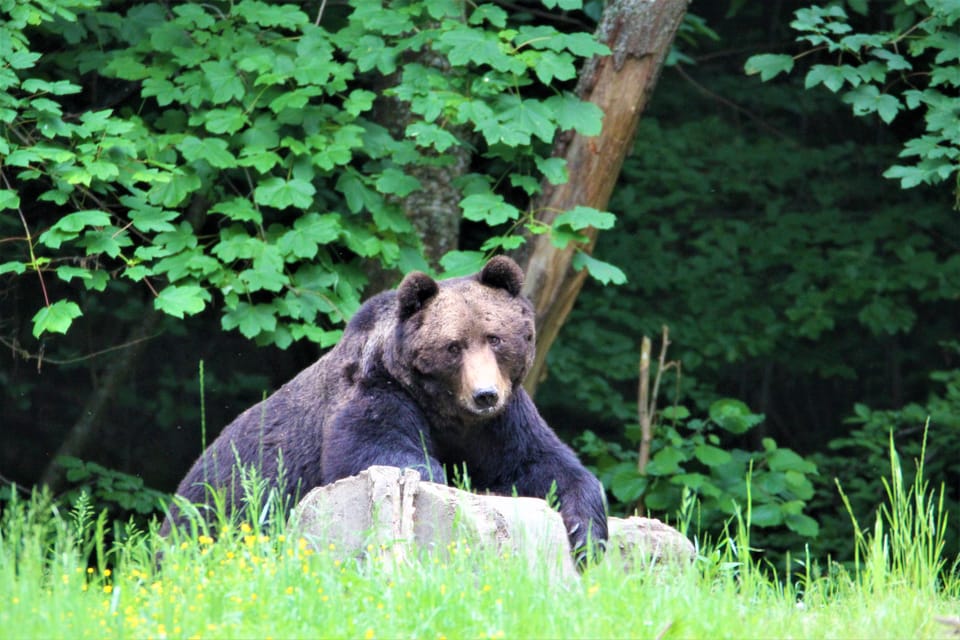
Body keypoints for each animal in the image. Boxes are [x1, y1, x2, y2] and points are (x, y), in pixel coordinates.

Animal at [160, 258, 604, 556]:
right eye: (454, 345)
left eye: (494, 338)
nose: (485, 394)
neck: (445, 408)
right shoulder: (377, 390)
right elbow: (379, 449)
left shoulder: (501, 422)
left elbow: (541, 461)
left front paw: (586, 533)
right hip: (224, 499)